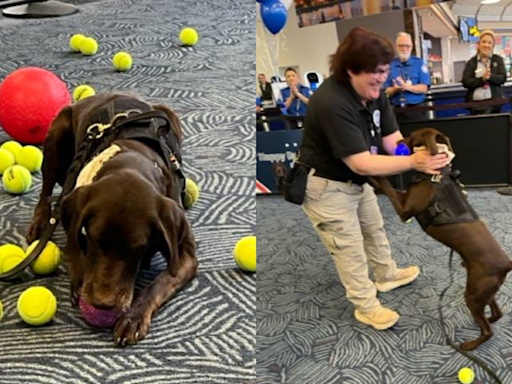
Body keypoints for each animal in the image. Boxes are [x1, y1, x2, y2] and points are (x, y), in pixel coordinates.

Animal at [25, 94, 198, 348]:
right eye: (94, 239)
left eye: (138, 249)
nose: (102, 304)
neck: (133, 159)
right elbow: (74, 246)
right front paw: (78, 277)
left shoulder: (184, 251)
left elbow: (160, 283)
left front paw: (133, 317)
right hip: (57, 134)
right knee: (46, 189)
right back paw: (39, 222)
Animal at [368, 127, 512, 350]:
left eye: (412, 137)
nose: (398, 141)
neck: (436, 175)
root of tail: (506, 264)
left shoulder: (404, 210)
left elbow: (387, 187)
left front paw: (370, 176)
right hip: (485, 291)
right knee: (496, 312)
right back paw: (487, 319)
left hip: (474, 293)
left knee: (488, 330)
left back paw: (470, 344)